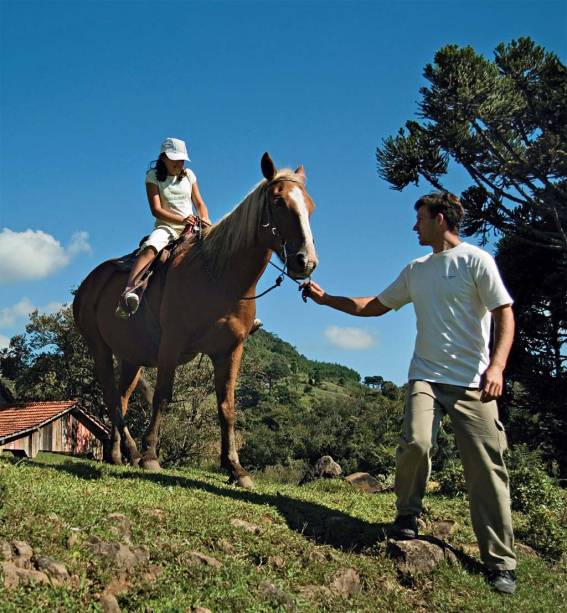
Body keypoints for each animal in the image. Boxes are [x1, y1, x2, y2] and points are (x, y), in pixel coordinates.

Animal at [73, 152, 318, 488]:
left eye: (310, 206)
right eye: (279, 202)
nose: (306, 261)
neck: (218, 278)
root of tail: (88, 284)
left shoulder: (229, 350)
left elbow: (227, 407)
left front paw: (235, 468)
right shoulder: (171, 344)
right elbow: (162, 397)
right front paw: (151, 456)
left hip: (130, 357)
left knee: (120, 398)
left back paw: (117, 454)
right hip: (99, 348)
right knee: (111, 397)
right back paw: (134, 452)